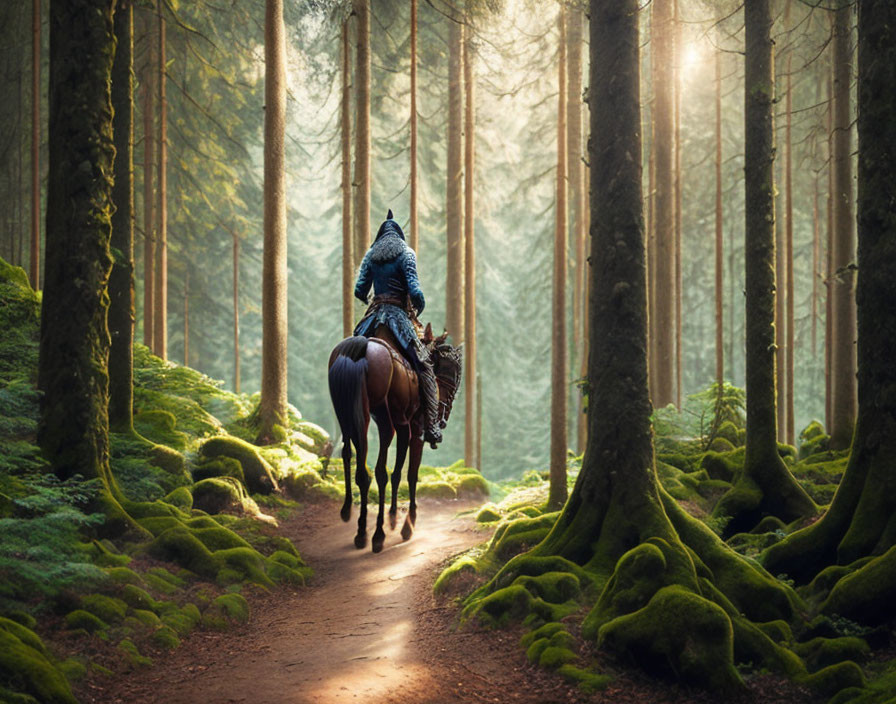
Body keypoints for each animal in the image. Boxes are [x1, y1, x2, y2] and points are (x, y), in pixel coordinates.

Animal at [326, 324, 462, 552]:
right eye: (454, 370)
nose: (445, 410)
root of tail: (360, 347)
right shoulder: (414, 428)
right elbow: (408, 473)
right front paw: (406, 523)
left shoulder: (403, 426)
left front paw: (393, 516)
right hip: (378, 416)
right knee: (378, 468)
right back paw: (377, 534)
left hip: (346, 412)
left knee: (351, 457)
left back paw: (356, 523)